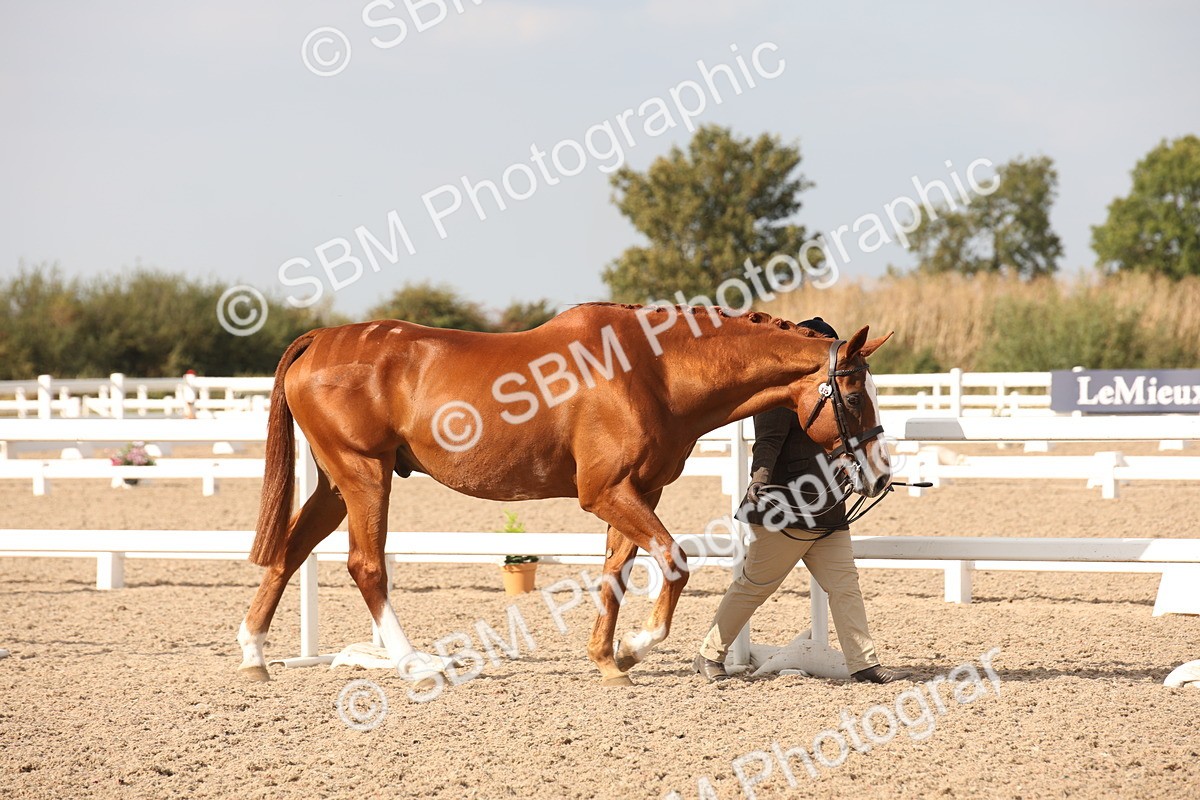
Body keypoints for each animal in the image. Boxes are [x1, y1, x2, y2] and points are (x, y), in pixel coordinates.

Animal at [237, 302, 892, 685]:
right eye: (853, 393)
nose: (881, 474)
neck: (652, 370)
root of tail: (320, 339)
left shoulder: (637, 493)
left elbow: (614, 574)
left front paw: (610, 659)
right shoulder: (605, 492)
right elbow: (674, 562)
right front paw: (634, 646)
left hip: (335, 485)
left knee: (289, 553)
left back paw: (255, 657)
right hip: (364, 476)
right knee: (365, 565)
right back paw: (414, 663)